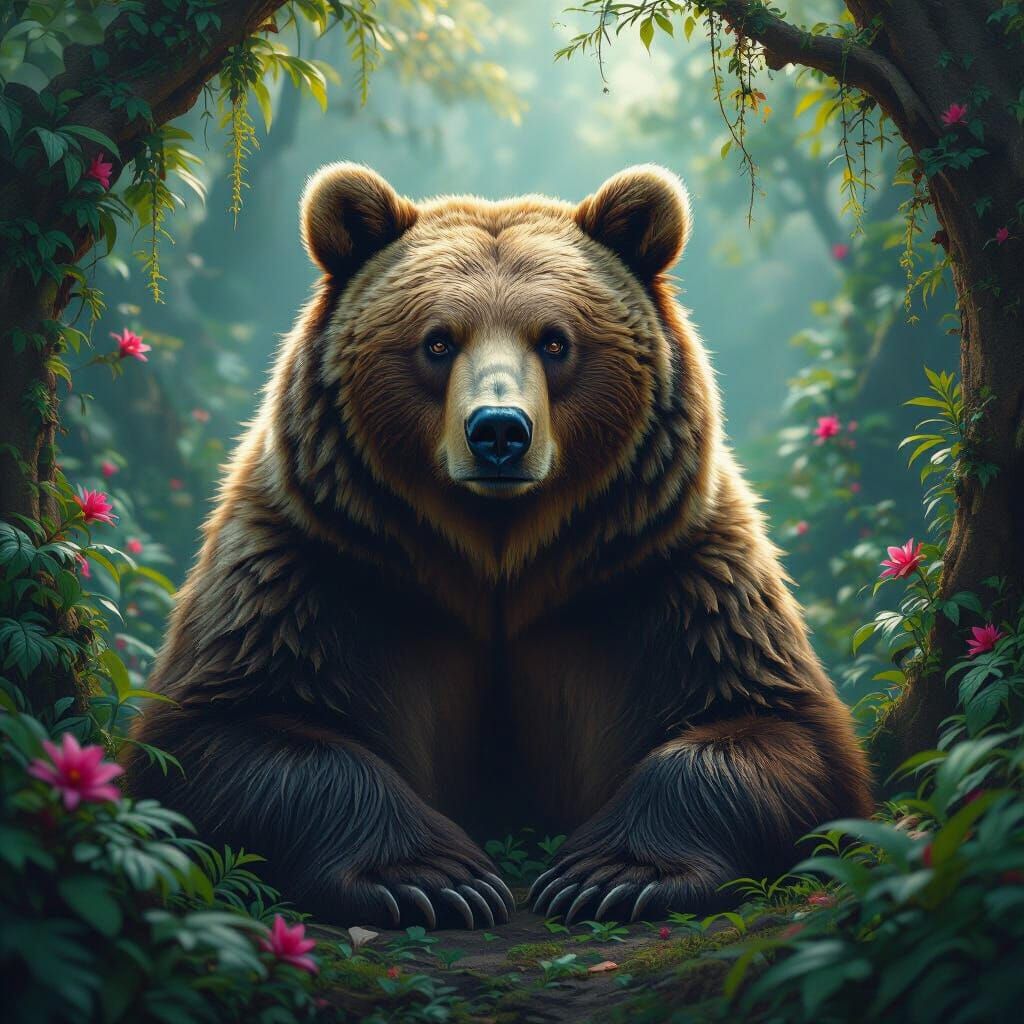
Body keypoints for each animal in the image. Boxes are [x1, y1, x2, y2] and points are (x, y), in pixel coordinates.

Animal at [128, 163, 873, 930]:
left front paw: (607, 875)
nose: (498, 431)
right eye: (437, 341)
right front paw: (436, 878)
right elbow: (224, 730)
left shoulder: (666, 568)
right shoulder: (316, 562)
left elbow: (771, 724)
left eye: (555, 340)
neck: (496, 555)